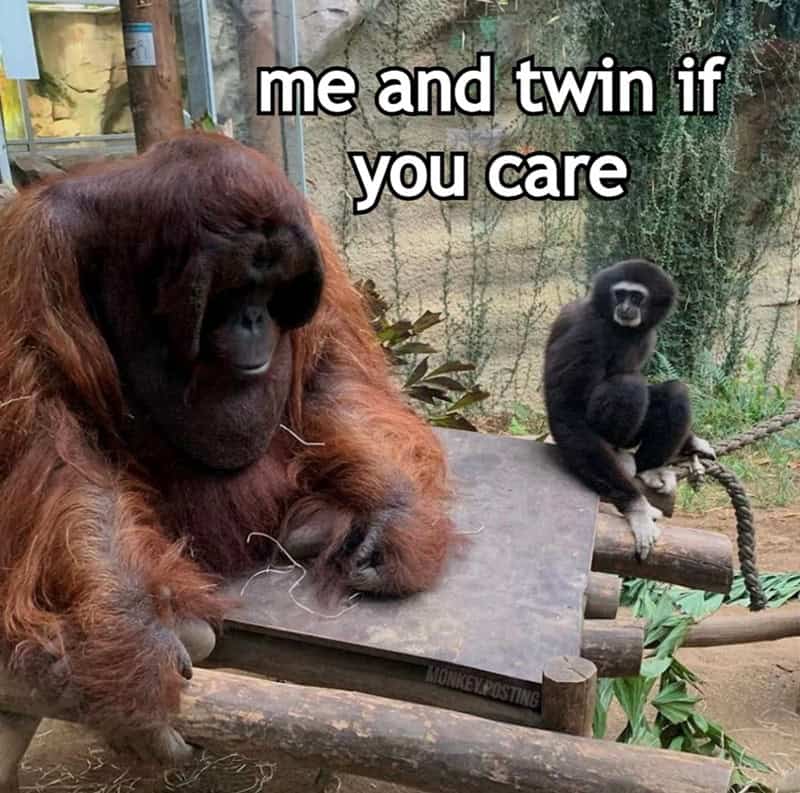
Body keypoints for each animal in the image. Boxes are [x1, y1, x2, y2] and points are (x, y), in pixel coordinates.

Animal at [544, 258, 715, 558]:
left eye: (637, 297)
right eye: (620, 294)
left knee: (674, 393)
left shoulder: (647, 334)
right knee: (628, 386)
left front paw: (693, 440)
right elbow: (568, 412)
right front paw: (638, 509)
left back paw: (651, 469)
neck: (620, 327)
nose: (625, 307)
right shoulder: (587, 331)